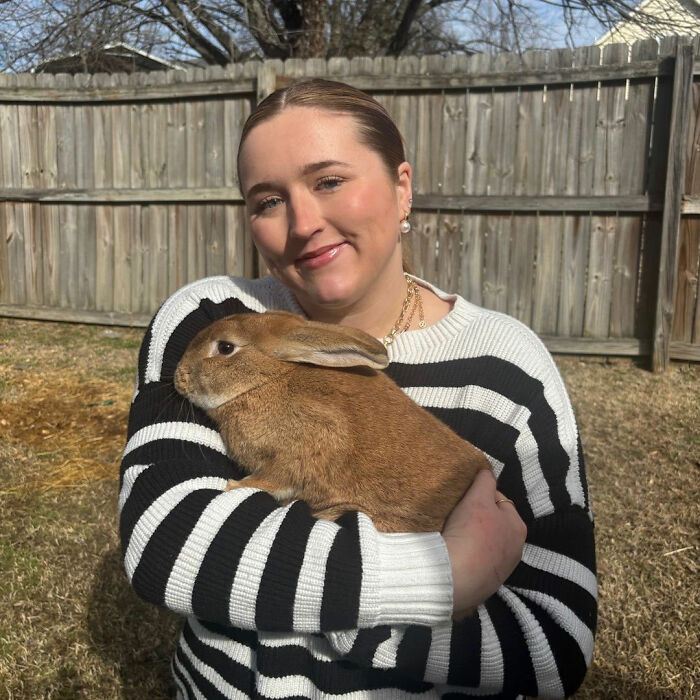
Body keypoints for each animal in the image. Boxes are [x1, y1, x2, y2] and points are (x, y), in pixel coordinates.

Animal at [174, 310, 490, 533]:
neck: (267, 379)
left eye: (225, 347)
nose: (179, 375)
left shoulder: (312, 440)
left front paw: (235, 486)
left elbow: (277, 477)